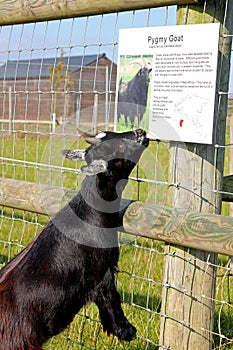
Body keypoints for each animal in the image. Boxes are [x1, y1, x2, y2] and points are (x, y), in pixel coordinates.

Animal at [0, 129, 149, 350]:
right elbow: (110, 298)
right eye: (119, 147)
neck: (91, 213)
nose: (141, 132)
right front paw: (126, 331)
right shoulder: (101, 271)